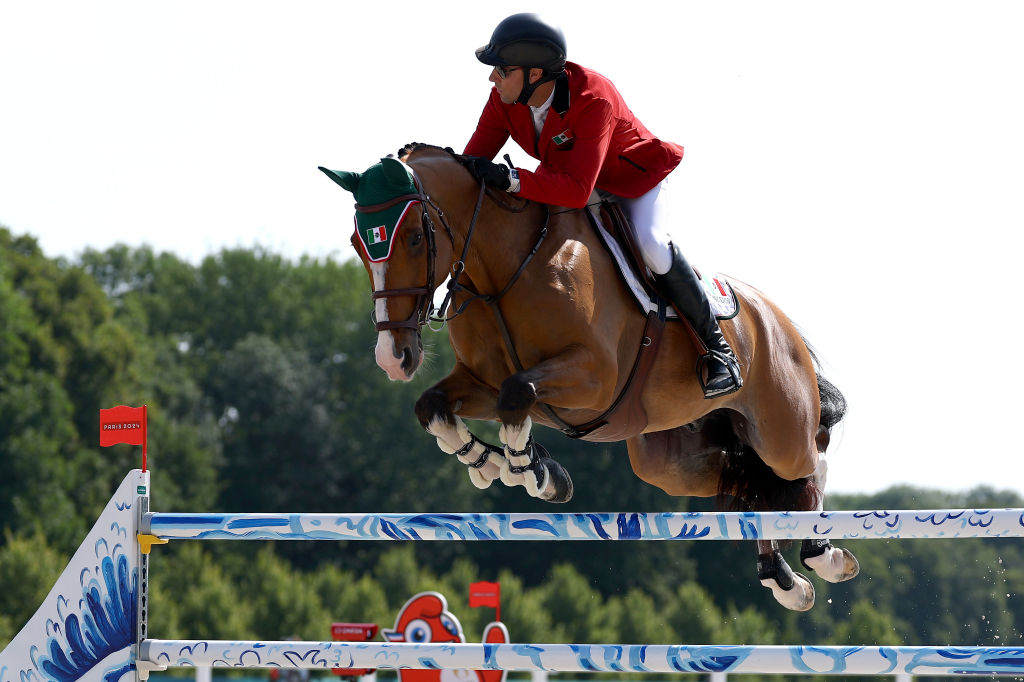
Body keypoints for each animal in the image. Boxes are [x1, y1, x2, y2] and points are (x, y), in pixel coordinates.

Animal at [319, 140, 856, 606]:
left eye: (414, 238)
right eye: (357, 244)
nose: (393, 358)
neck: (505, 270)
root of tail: (778, 319)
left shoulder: (593, 379)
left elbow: (518, 393)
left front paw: (531, 471)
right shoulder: (480, 383)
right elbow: (434, 406)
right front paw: (492, 462)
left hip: (778, 427)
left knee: (806, 462)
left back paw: (823, 554)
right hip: (670, 460)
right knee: (747, 484)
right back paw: (784, 579)